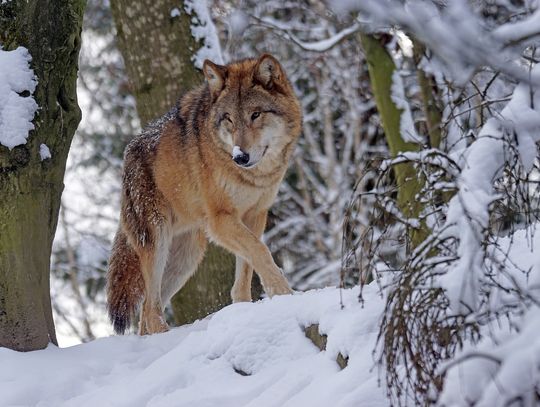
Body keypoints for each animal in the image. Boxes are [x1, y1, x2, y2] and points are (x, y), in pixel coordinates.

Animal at [107, 53, 302, 334]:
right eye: (229, 118)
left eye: (255, 114)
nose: (240, 157)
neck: (253, 177)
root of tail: (127, 154)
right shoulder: (221, 220)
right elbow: (261, 252)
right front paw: (284, 294)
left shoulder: (255, 215)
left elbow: (247, 268)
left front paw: (245, 309)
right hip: (158, 242)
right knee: (151, 309)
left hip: (186, 258)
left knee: (145, 313)